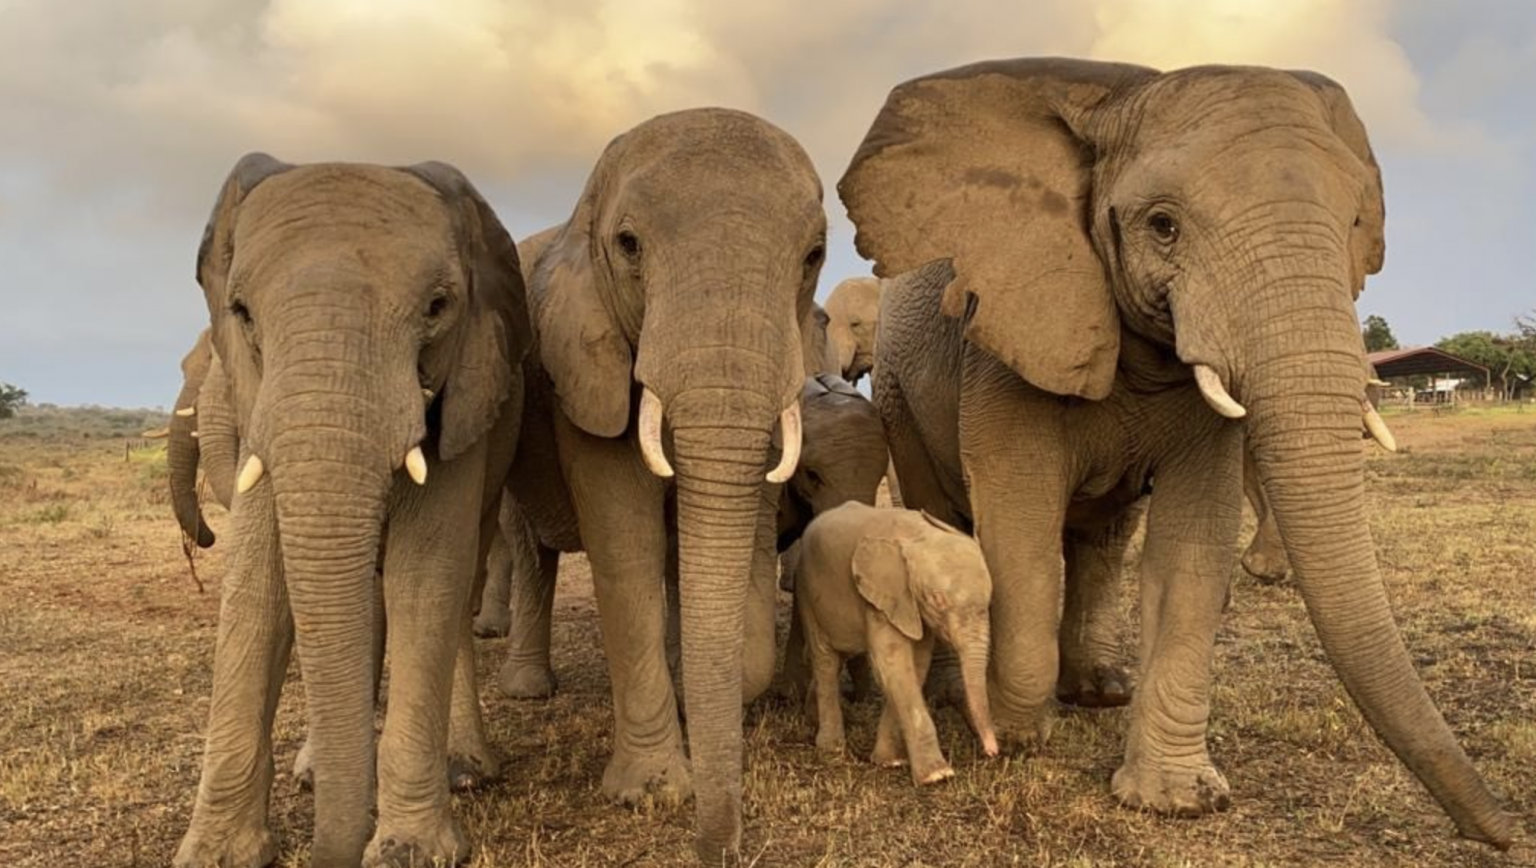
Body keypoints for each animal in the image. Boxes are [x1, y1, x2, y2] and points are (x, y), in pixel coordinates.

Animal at [175, 152, 528, 860]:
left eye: (438, 307)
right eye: (241, 311)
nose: (201, 540)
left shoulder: (464, 388)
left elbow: (427, 574)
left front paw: (410, 854)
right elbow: (257, 586)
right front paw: (215, 854)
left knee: (457, 582)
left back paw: (465, 770)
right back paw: (315, 770)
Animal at [491, 109, 829, 860]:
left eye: (816, 255)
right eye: (628, 245)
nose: (721, 852)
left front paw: (699, 687)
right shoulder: (585, 365)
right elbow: (629, 541)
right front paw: (651, 794)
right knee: (530, 548)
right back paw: (528, 690)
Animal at [798, 497, 1001, 780]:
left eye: (989, 601)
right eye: (937, 600)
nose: (992, 751)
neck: (920, 535)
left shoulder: (912, 607)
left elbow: (915, 665)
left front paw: (890, 761)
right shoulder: (882, 597)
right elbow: (892, 664)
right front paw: (937, 775)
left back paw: (813, 720)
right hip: (807, 591)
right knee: (825, 659)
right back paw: (831, 748)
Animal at [841, 55, 1511, 848]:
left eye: (1354, 223)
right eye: (1163, 227)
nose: (1502, 834)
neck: (1116, 96)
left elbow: (1191, 546)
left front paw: (1177, 799)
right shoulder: (1004, 345)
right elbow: (1022, 531)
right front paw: (1016, 734)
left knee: (1103, 538)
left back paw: (1098, 691)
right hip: (898, 393)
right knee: (945, 511)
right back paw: (959, 693)